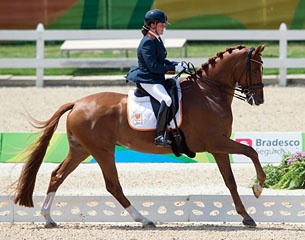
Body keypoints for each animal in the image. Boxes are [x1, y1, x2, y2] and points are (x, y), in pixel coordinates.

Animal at [15, 46, 264, 228]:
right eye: (255, 69)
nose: (259, 99)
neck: (209, 93)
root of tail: (77, 103)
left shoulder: (218, 147)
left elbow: (230, 181)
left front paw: (246, 216)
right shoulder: (216, 142)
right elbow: (251, 151)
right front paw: (259, 186)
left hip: (81, 149)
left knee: (57, 175)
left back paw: (48, 218)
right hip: (101, 150)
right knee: (113, 185)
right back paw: (144, 219)